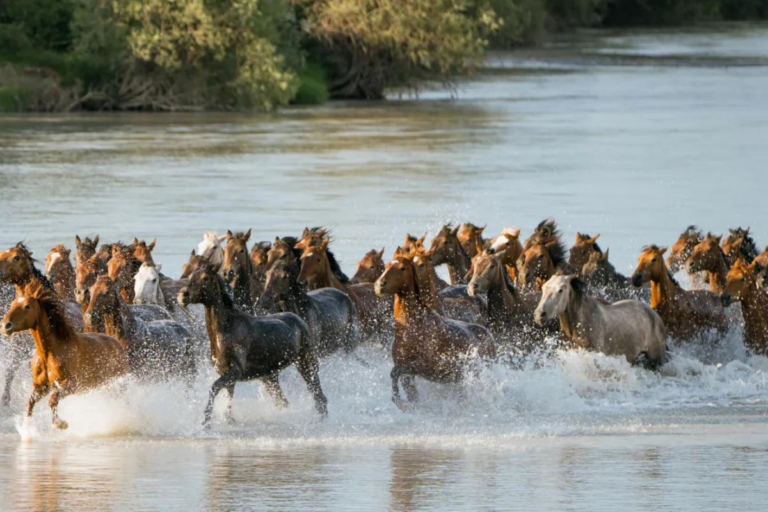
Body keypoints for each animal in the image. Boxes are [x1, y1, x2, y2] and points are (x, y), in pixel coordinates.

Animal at [1, 283, 129, 430]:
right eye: (12, 304)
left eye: (27, 306)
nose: (5, 325)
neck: (49, 353)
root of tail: (116, 343)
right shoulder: (41, 386)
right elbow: (30, 402)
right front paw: (26, 427)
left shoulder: (70, 385)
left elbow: (52, 400)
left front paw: (60, 423)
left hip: (119, 381)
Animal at [178, 266, 327, 425]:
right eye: (191, 276)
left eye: (205, 278)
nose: (183, 295)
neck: (226, 328)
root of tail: (301, 321)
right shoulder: (227, 374)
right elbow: (227, 404)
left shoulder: (236, 371)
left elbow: (214, 388)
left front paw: (205, 422)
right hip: (270, 377)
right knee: (285, 402)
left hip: (306, 363)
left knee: (319, 396)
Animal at [374, 254, 495, 410]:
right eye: (386, 266)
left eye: (402, 268)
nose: (379, 285)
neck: (412, 328)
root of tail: (489, 335)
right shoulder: (408, 373)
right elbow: (406, 388)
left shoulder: (422, 366)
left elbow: (394, 373)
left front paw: (399, 402)